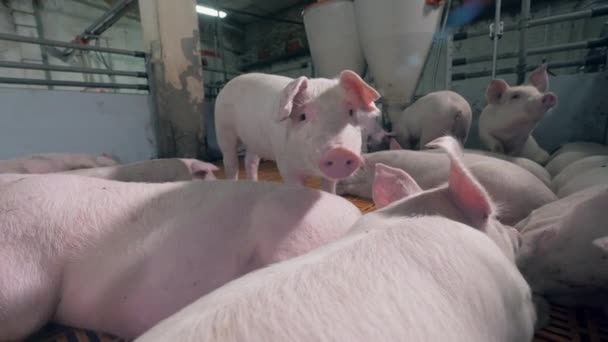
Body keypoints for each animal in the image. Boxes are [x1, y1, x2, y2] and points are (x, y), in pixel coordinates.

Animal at [215, 70, 380, 192]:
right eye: (302, 116)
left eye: (351, 112)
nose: (339, 152)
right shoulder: (285, 165)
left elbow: (329, 187)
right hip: (223, 130)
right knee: (230, 163)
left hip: (253, 140)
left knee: (250, 161)